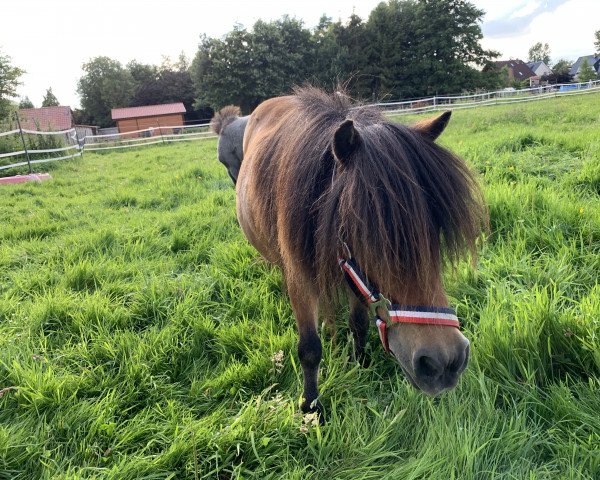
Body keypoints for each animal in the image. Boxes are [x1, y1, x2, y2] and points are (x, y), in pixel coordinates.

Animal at [234, 86, 488, 416]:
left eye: (435, 229)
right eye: (364, 235)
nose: (444, 362)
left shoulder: (355, 277)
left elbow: (359, 324)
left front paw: (361, 363)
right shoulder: (300, 277)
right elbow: (310, 348)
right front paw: (311, 406)